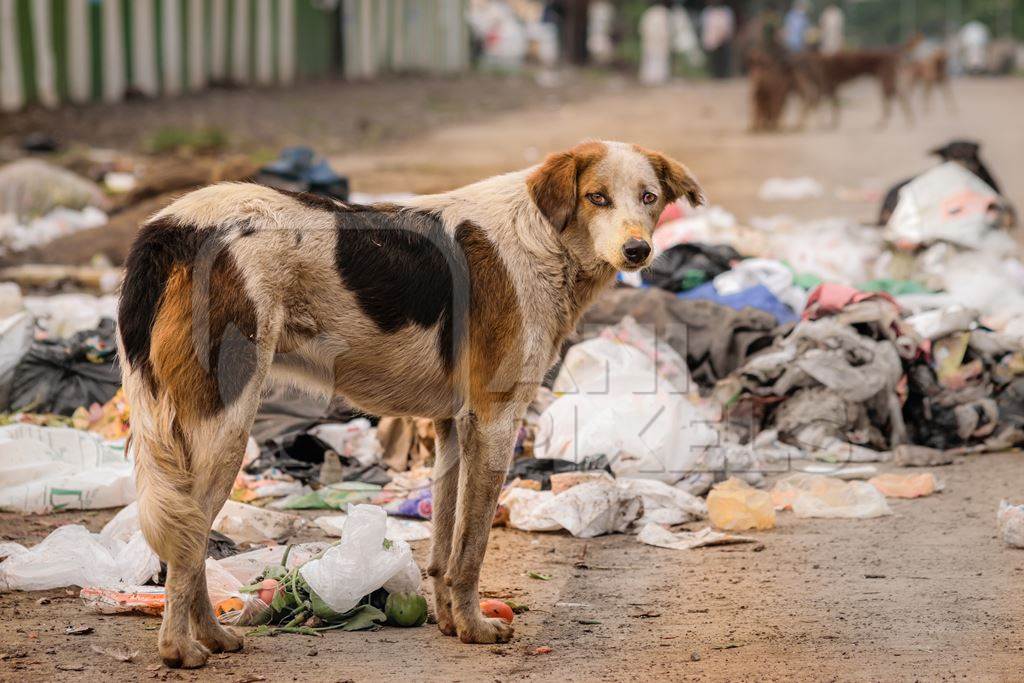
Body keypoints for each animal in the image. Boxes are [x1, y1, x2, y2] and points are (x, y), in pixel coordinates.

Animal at [114, 139, 704, 667]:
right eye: (597, 198)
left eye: (648, 198)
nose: (638, 251)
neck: (543, 237)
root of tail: (172, 225)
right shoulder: (495, 421)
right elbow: (472, 547)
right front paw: (474, 628)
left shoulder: (452, 426)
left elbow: (444, 544)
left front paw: (448, 622)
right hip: (225, 424)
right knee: (187, 544)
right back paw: (183, 648)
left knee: (187, 543)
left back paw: (212, 637)